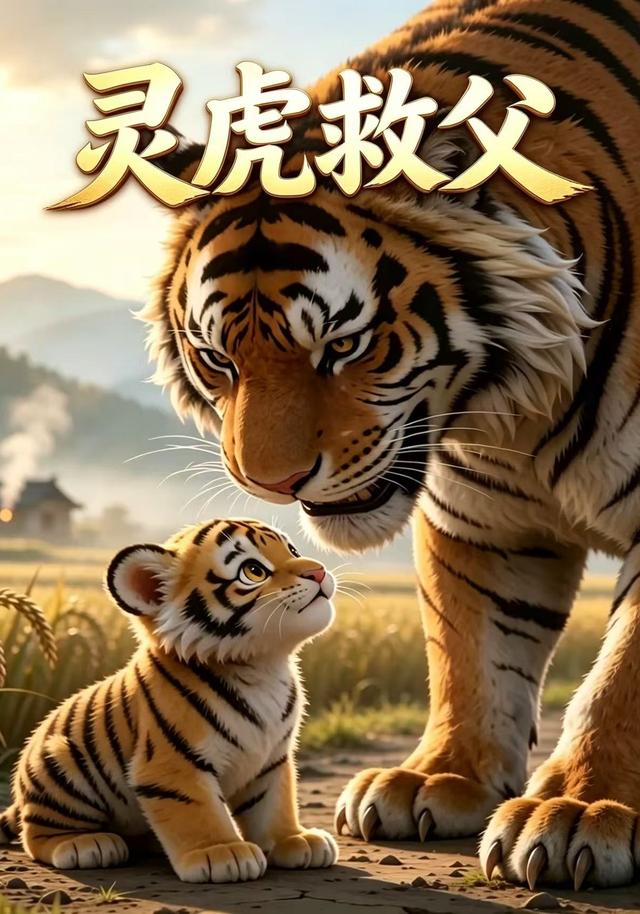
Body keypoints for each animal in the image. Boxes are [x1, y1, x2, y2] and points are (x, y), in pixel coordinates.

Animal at [0, 518, 338, 882]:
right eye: (253, 570)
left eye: (292, 550)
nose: (318, 571)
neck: (262, 667)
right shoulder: (173, 764)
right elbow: (198, 810)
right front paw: (221, 853)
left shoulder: (272, 759)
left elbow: (274, 803)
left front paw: (295, 840)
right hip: (59, 762)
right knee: (37, 833)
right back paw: (86, 844)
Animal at [139, 0, 640, 892]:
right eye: (219, 359)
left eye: (343, 346)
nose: (269, 483)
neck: (521, 409)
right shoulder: (484, 518)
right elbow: (474, 652)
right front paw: (439, 780)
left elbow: (620, 681)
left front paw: (579, 808)